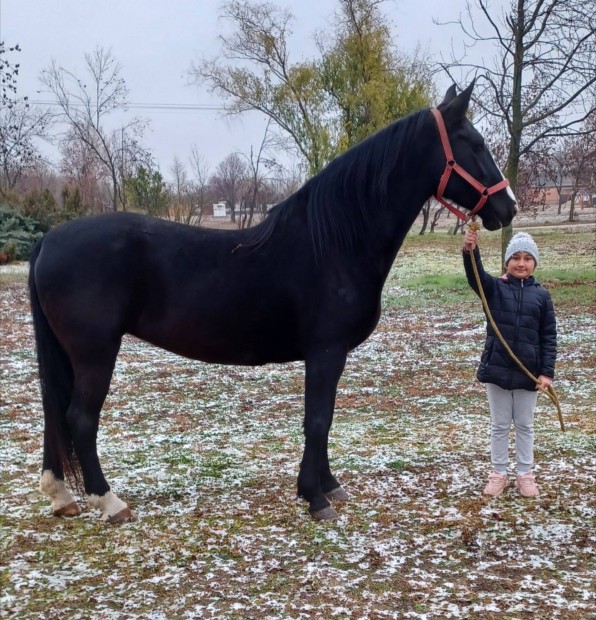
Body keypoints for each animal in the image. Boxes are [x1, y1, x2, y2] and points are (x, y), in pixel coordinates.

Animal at [29, 83, 516, 524]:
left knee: (54, 413)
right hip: (95, 353)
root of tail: (48, 240)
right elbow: (318, 420)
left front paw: (328, 486)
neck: (336, 242)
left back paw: (61, 496)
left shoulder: (326, 355)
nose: (508, 208)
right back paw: (109, 502)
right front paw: (315, 498)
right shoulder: (326, 352)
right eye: (475, 144)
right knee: (80, 418)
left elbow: (323, 420)